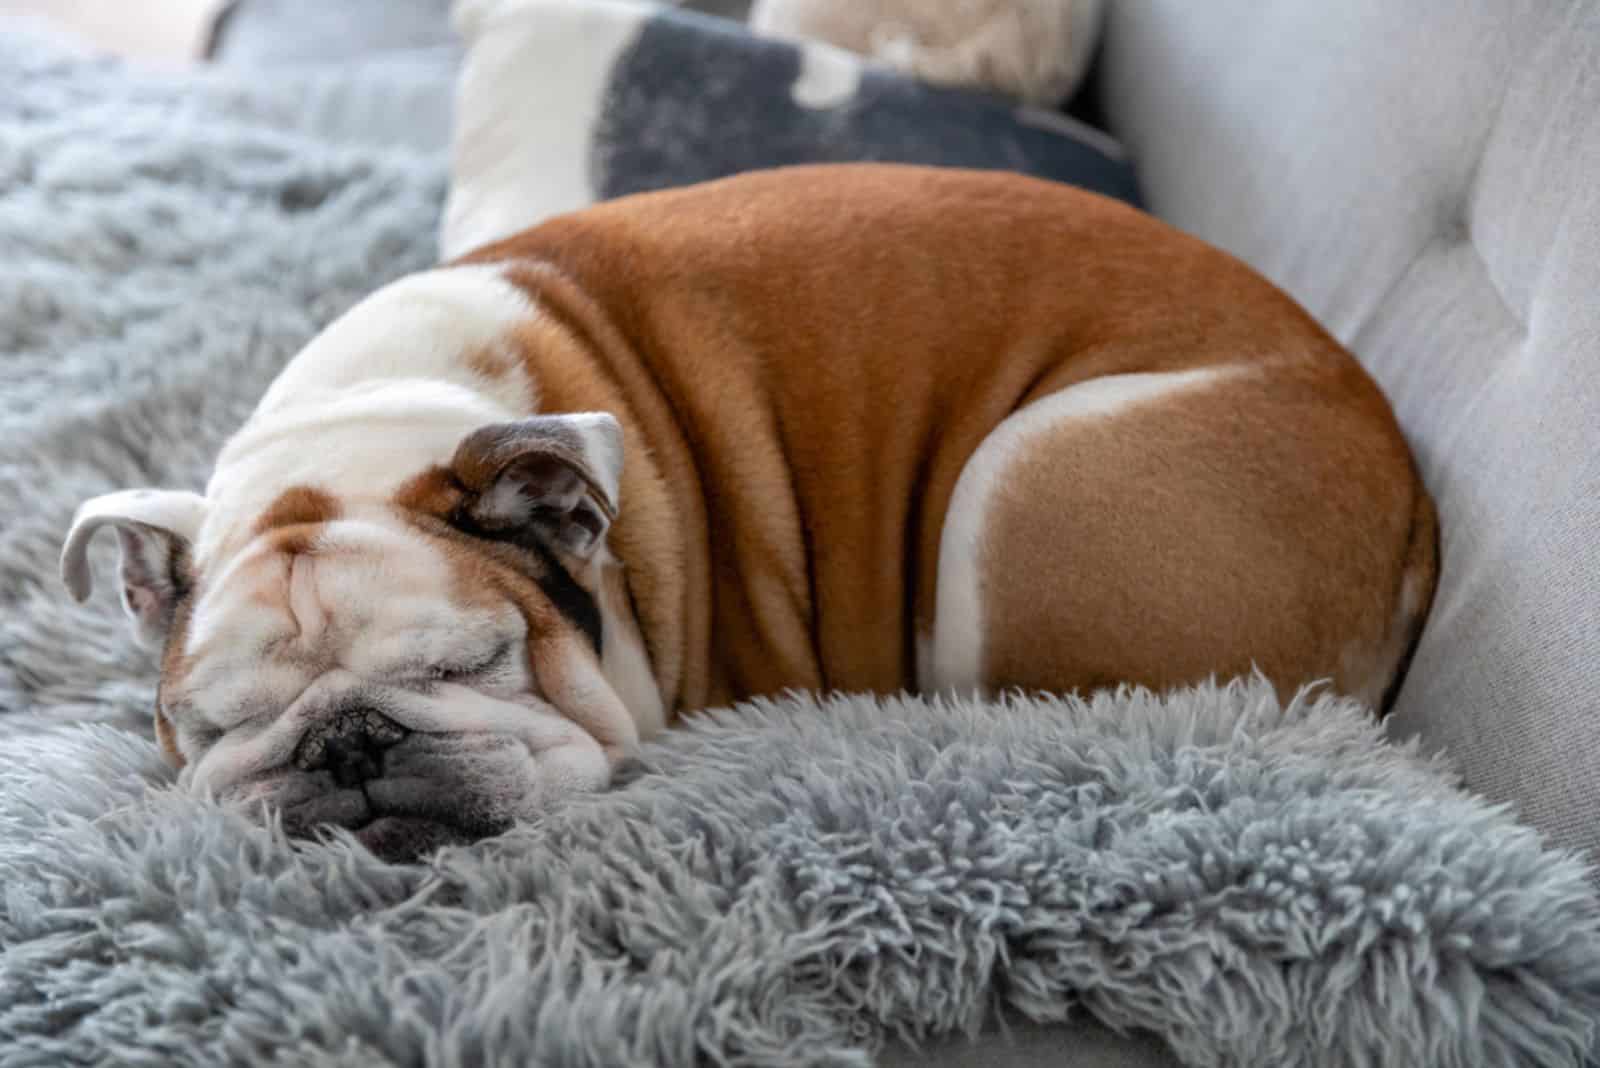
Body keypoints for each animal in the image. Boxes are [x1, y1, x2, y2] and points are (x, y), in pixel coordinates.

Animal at [59, 164, 1440, 856]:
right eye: (213, 724)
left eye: (476, 664)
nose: (344, 745)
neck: (362, 429)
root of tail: (1413, 511)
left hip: (1024, 485)